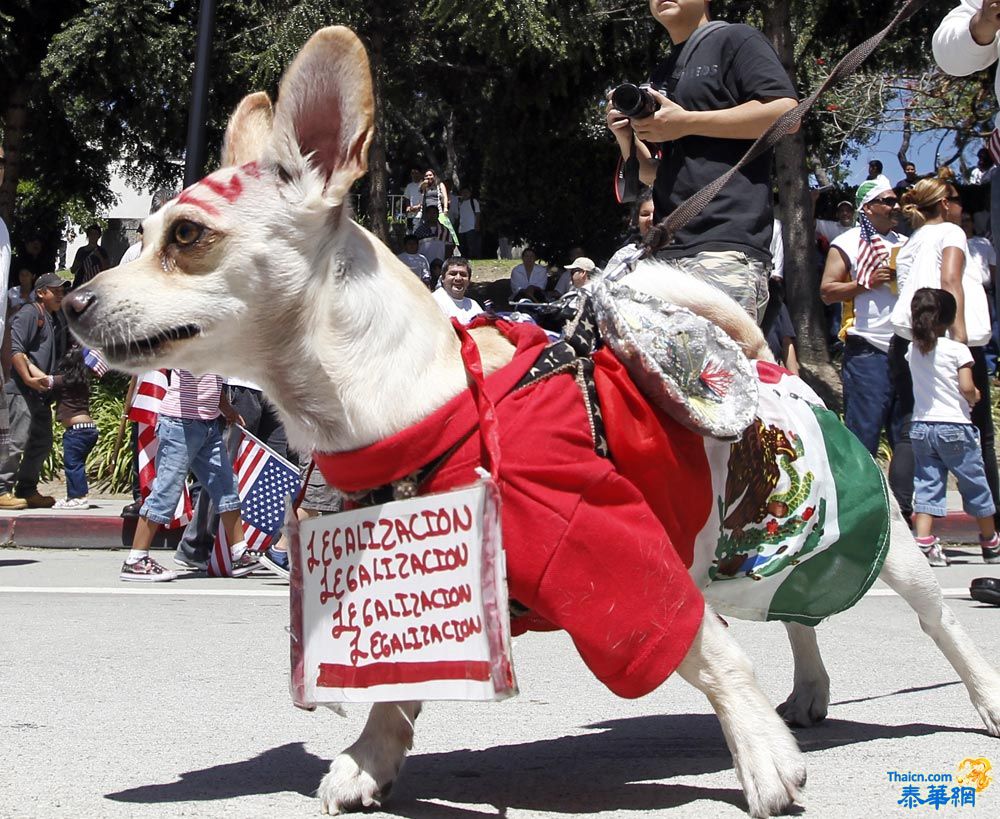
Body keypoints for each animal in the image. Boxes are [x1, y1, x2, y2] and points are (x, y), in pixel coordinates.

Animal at [64, 27, 1000, 819]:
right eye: (140, 232)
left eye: (187, 236)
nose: (72, 301)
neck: (425, 403)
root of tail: (776, 367)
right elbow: (399, 691)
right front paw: (370, 757)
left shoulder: (617, 556)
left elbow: (711, 655)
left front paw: (761, 759)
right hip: (743, 553)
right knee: (800, 614)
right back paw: (808, 692)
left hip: (881, 539)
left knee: (940, 624)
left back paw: (979, 698)